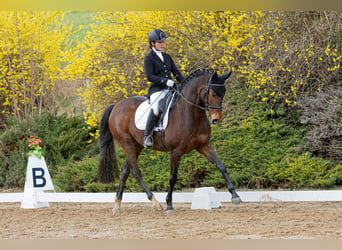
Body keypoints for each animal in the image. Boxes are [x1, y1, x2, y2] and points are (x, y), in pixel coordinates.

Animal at [98, 69, 243, 214]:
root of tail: (116, 105)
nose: (216, 119)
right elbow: (173, 178)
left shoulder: (203, 145)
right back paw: (155, 203)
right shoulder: (176, 151)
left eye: (223, 93)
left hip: (137, 145)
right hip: (127, 143)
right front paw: (169, 204)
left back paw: (117, 205)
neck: (190, 112)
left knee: (125, 171)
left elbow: (221, 165)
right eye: (213, 93)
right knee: (136, 172)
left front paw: (235, 196)